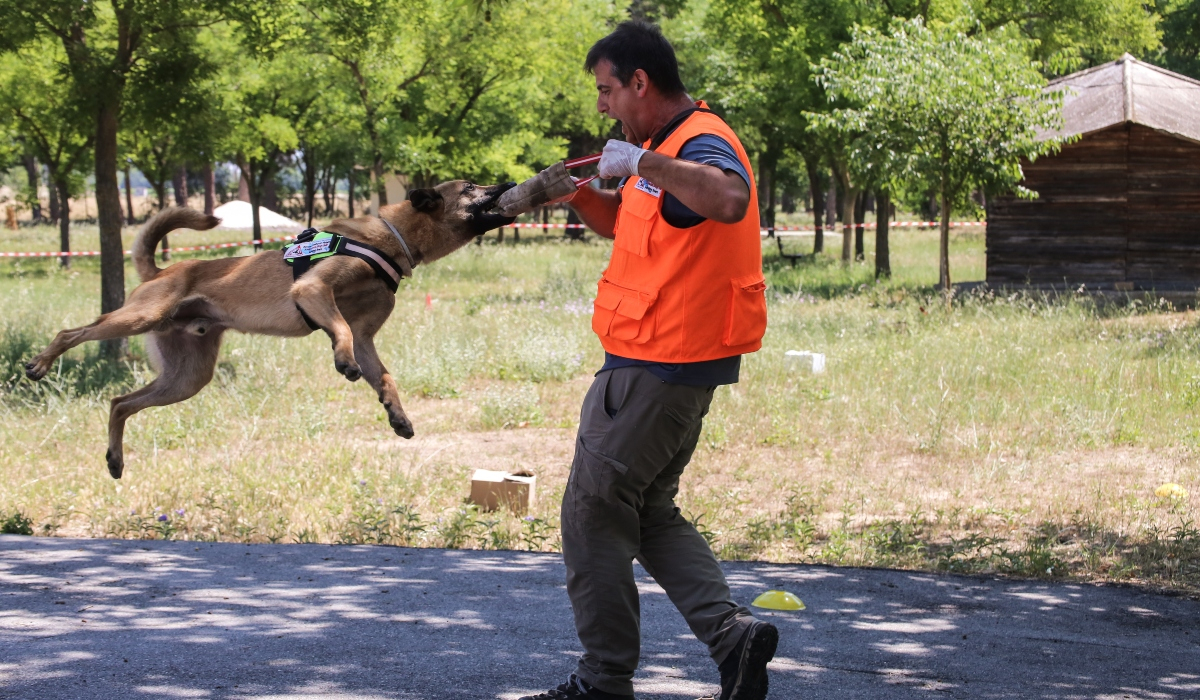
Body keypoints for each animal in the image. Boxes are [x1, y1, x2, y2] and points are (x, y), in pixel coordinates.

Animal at [25, 178, 516, 482]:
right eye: (470, 187)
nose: (507, 183)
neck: (391, 238)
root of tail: (162, 271)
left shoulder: (366, 337)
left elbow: (384, 376)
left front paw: (397, 415)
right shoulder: (313, 289)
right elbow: (339, 329)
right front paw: (343, 362)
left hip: (185, 378)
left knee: (119, 403)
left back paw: (114, 459)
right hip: (138, 319)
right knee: (72, 333)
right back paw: (41, 363)